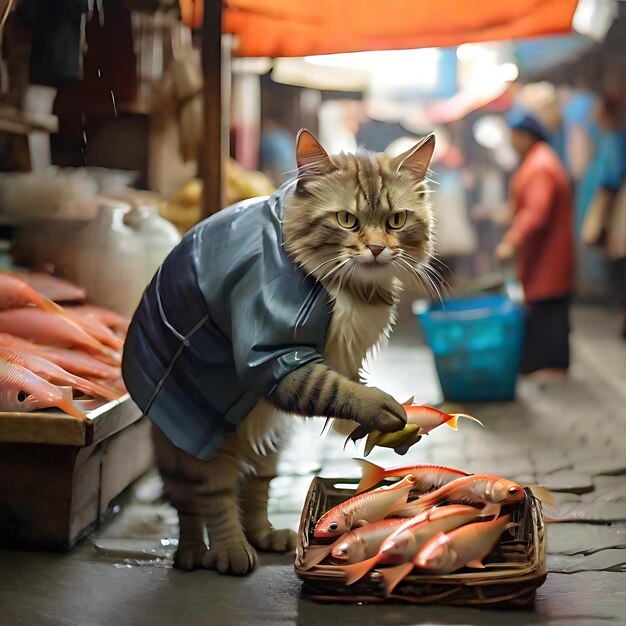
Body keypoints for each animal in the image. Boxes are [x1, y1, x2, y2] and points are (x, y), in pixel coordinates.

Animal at [130, 129, 434, 572]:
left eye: (396, 220)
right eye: (347, 220)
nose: (378, 249)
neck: (346, 286)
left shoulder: (339, 356)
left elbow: (346, 390)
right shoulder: (280, 360)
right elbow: (340, 391)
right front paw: (384, 409)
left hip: (267, 444)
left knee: (256, 487)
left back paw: (265, 535)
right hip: (197, 443)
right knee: (204, 501)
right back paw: (215, 552)